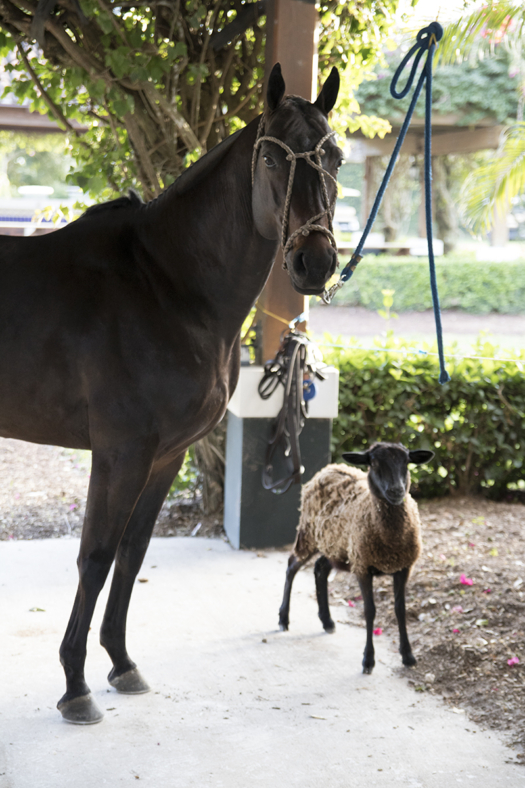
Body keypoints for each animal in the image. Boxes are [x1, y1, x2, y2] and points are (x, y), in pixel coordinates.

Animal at [0, 64, 340, 724]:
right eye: (272, 158)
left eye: (334, 157)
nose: (314, 263)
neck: (166, 285)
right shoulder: (120, 453)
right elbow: (96, 556)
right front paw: (75, 685)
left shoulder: (166, 454)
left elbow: (132, 553)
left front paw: (120, 662)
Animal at [278, 440, 434, 676]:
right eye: (374, 462)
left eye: (407, 462)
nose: (396, 491)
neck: (390, 540)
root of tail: (328, 468)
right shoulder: (362, 566)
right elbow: (370, 611)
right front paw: (368, 660)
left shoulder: (404, 567)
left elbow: (400, 609)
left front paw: (408, 656)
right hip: (308, 534)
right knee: (291, 566)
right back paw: (283, 619)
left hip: (335, 546)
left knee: (320, 568)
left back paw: (327, 621)